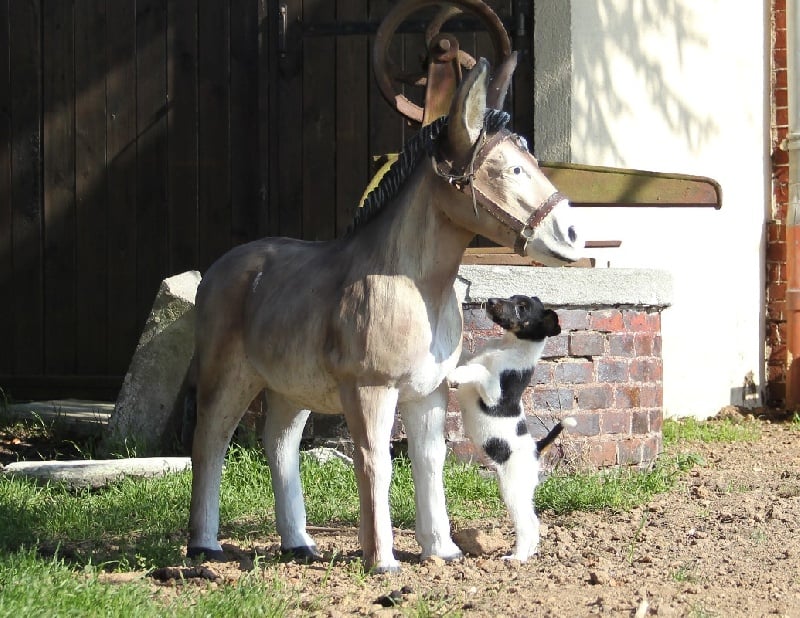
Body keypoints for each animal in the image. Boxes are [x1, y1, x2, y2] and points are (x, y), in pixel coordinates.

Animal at [448, 294, 576, 561]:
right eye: (514, 298)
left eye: (522, 308)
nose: (489, 300)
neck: (508, 347)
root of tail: (536, 449)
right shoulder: (476, 357)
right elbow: (470, 358)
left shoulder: (494, 395)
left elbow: (480, 371)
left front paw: (456, 375)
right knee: (534, 524)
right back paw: (528, 554)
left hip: (513, 490)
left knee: (527, 524)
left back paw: (517, 558)